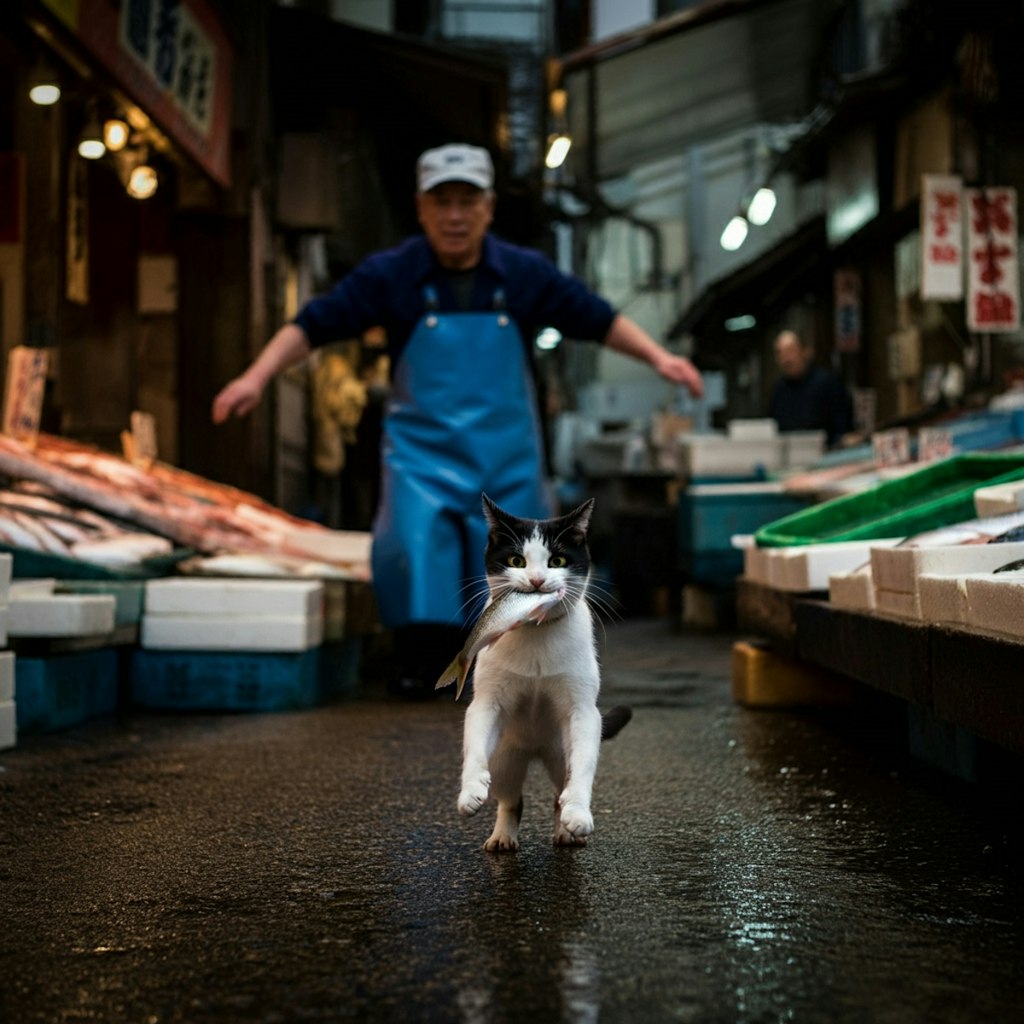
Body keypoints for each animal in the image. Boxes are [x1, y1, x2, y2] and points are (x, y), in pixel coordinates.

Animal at [454, 491, 626, 851]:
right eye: (517, 560)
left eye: (557, 561)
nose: (536, 580)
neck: (535, 627)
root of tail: (535, 751)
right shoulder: (486, 702)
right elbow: (474, 741)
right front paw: (470, 790)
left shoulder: (583, 711)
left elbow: (582, 768)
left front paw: (578, 814)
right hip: (505, 755)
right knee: (511, 799)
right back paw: (503, 835)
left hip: (560, 752)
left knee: (558, 793)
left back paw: (565, 830)